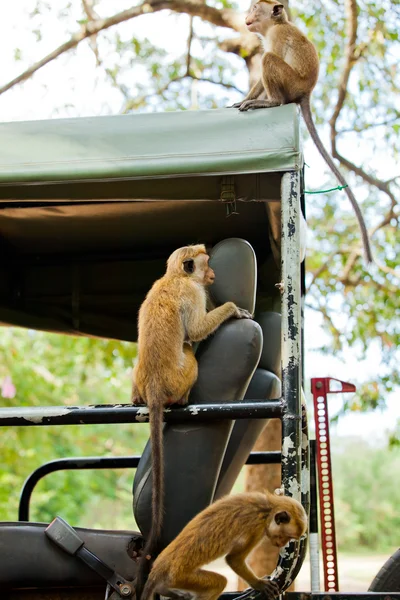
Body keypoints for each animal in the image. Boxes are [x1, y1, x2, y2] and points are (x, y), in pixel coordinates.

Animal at [133, 245, 252, 596]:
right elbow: (197, 329)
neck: (175, 276)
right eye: (207, 264)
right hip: (183, 375)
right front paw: (232, 308)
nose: (212, 274)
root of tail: (154, 386)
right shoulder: (193, 293)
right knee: (190, 351)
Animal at [139, 490, 308, 600]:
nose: (281, 544)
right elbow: (233, 559)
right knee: (219, 583)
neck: (267, 508)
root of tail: (158, 568)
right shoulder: (256, 528)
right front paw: (259, 584)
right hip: (178, 577)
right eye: (286, 537)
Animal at [230, 0, 374, 262]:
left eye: (255, 7)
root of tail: (305, 92)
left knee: (269, 60)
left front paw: (252, 100)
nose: (247, 15)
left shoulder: (276, 36)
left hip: (291, 82)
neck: (276, 24)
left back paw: (271, 102)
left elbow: (270, 58)